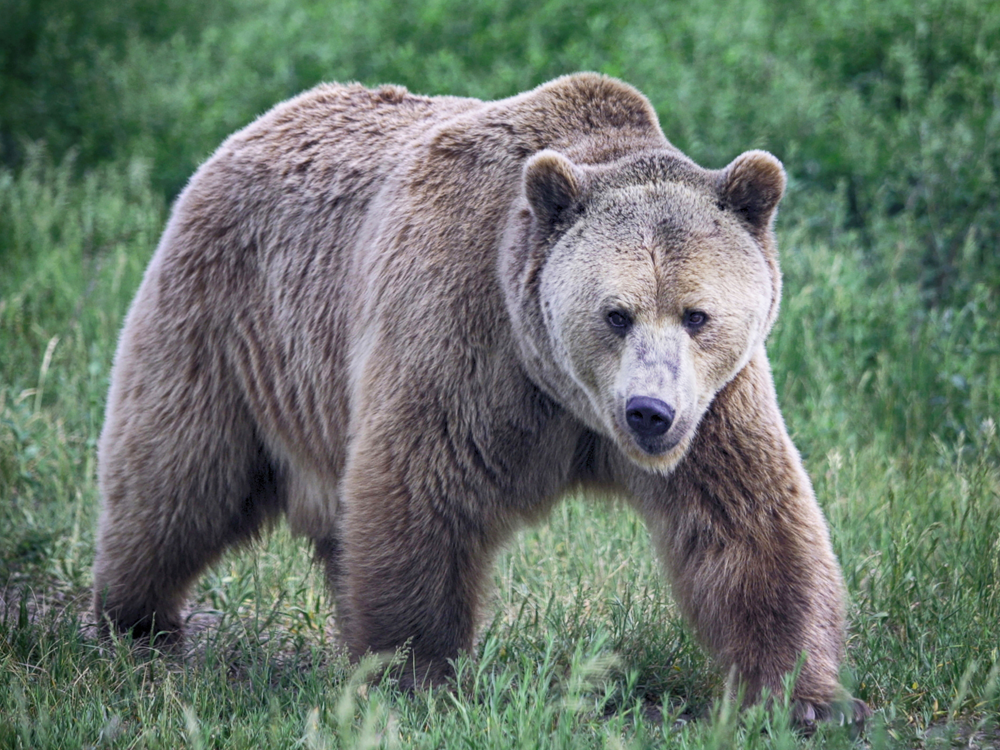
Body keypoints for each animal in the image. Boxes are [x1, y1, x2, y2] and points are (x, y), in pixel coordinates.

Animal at [94, 73, 868, 724]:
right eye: (616, 314)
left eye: (696, 314)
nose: (649, 413)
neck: (564, 392)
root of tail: (262, 121)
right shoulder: (462, 339)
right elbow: (420, 496)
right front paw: (421, 676)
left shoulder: (715, 405)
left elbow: (750, 524)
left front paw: (801, 697)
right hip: (230, 324)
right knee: (176, 475)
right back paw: (135, 619)